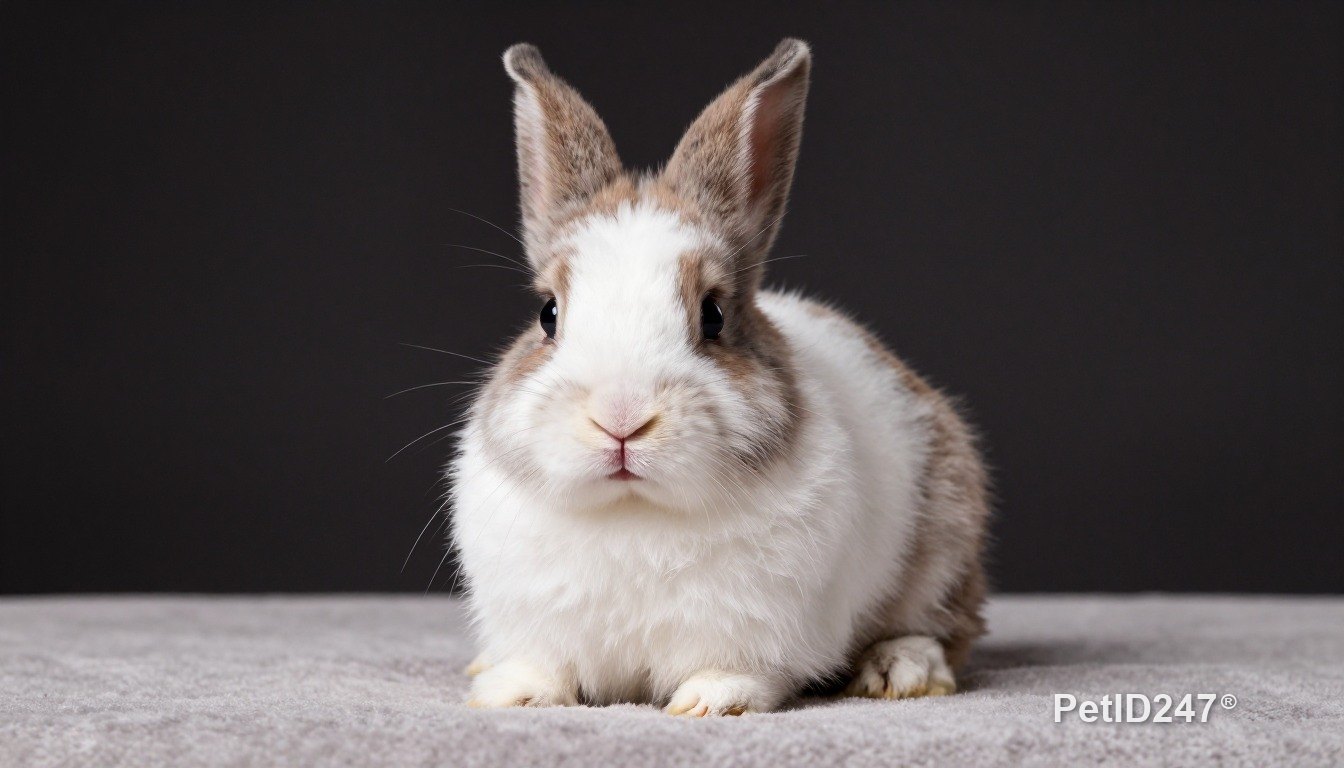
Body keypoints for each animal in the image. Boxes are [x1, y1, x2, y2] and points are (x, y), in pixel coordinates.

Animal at [450, 38, 989, 716]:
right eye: (548, 314)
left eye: (713, 315)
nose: (621, 419)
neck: (634, 512)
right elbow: (542, 665)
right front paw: (512, 695)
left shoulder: (758, 631)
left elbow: (738, 670)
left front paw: (709, 703)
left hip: (944, 541)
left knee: (943, 628)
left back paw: (898, 671)